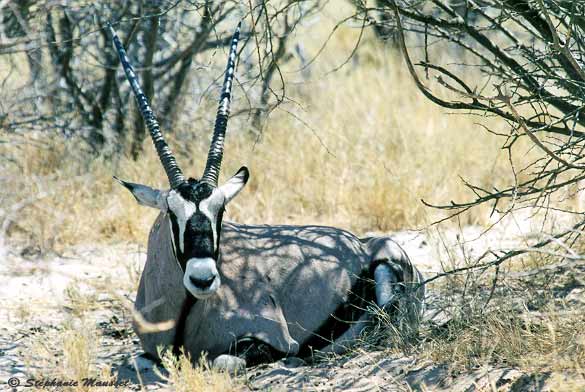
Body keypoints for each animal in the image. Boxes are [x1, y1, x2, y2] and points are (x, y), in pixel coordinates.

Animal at [106, 23, 424, 372]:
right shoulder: (147, 353)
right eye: (172, 212)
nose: (204, 279)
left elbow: (223, 361)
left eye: (221, 210)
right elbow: (141, 361)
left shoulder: (273, 340)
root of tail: (364, 243)